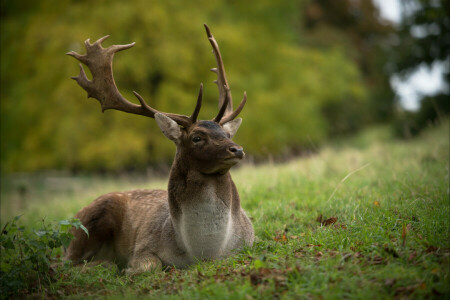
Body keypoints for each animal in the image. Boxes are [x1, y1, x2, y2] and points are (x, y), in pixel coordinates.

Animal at [63, 24, 255, 274]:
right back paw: (106, 263)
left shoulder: (249, 242)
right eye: (196, 137)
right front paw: (127, 269)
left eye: (228, 134)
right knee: (63, 263)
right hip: (87, 224)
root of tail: (72, 217)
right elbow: (149, 266)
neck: (203, 252)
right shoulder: (144, 246)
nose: (237, 149)